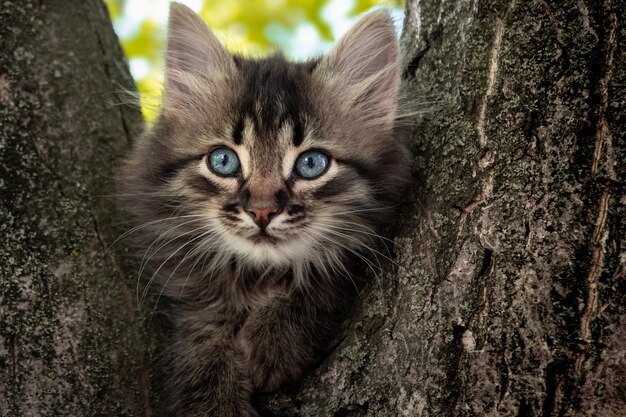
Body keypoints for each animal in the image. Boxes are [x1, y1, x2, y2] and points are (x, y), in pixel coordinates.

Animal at [120, 4, 410, 416]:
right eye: (223, 161)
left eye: (311, 164)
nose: (261, 211)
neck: (258, 275)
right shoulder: (192, 293)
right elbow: (204, 335)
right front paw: (214, 400)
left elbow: (321, 277)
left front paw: (272, 344)